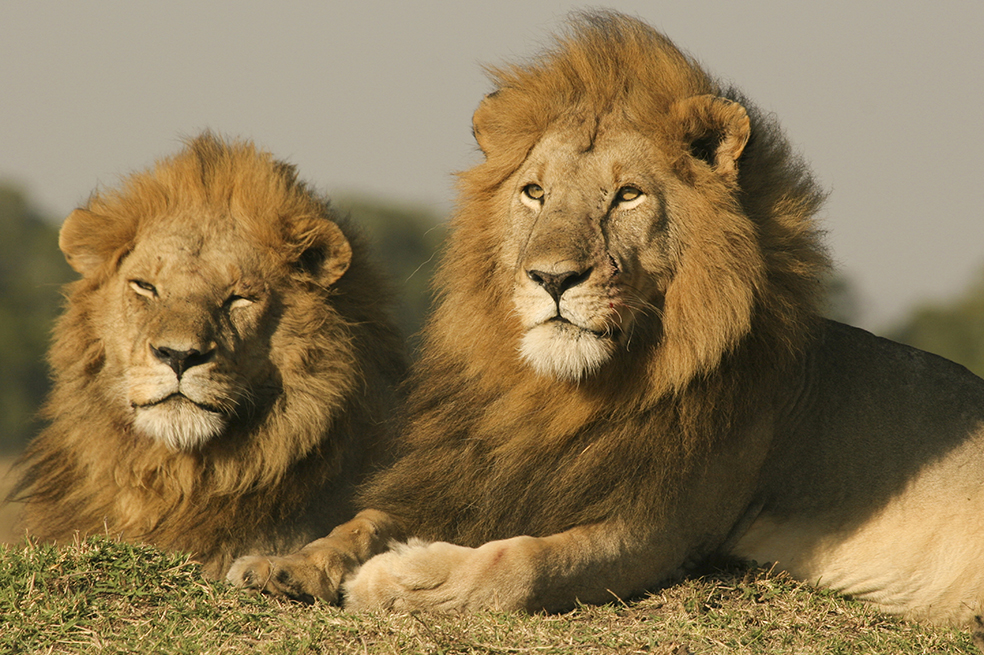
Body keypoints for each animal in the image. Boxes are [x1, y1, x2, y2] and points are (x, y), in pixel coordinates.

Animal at [228, 12, 984, 629]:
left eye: (627, 196)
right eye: (535, 193)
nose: (553, 278)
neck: (562, 394)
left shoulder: (663, 526)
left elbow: (521, 565)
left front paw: (401, 577)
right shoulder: (488, 473)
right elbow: (363, 518)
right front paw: (286, 563)